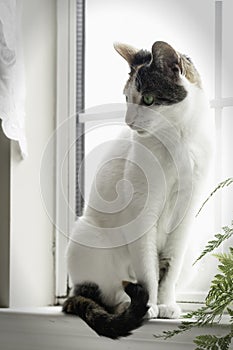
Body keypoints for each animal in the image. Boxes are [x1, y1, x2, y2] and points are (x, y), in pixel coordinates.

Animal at [62, 41, 214, 340]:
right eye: (127, 98)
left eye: (149, 100)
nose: (129, 122)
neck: (176, 143)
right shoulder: (142, 214)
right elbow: (148, 268)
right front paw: (151, 306)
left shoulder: (185, 218)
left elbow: (169, 268)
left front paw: (166, 304)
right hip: (88, 236)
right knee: (109, 294)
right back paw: (125, 303)